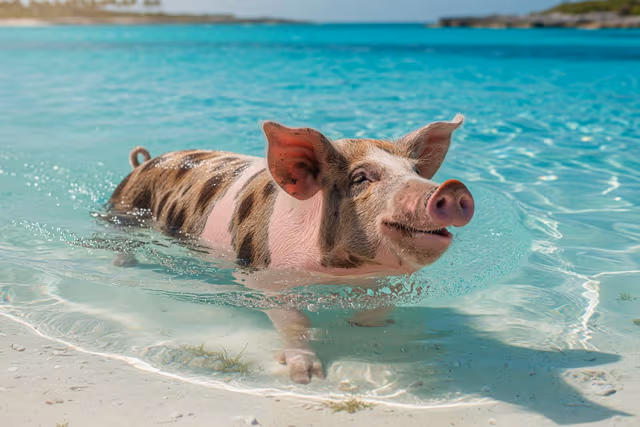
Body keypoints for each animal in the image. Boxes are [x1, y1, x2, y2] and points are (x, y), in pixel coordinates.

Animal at [107, 114, 474, 384]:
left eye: (415, 171)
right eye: (361, 178)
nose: (453, 188)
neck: (339, 270)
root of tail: (144, 162)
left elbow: (380, 304)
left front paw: (370, 331)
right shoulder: (264, 276)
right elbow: (295, 322)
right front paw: (306, 377)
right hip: (123, 206)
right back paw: (123, 266)